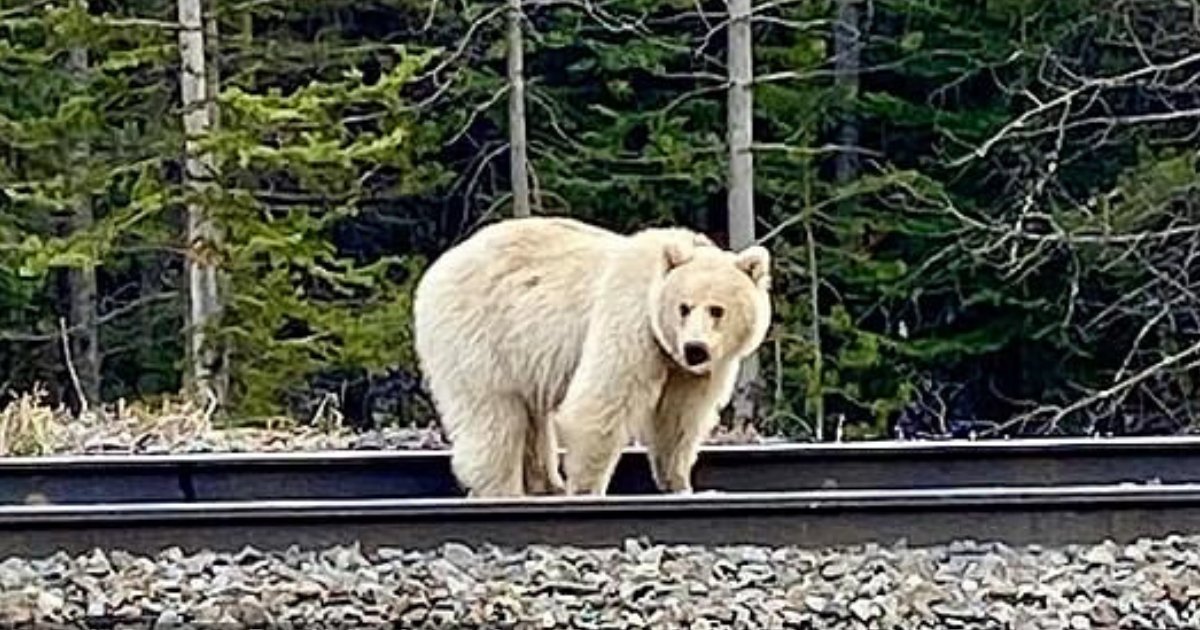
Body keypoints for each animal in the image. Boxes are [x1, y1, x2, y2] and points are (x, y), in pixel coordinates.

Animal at [410, 216, 768, 496]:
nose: (695, 348)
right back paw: (505, 489)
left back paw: (545, 484)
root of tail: (435, 272)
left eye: (717, 309)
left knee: (530, 416)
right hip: (480, 335)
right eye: (684, 307)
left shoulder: (695, 369)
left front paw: (679, 483)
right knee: (495, 416)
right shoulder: (631, 322)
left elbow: (680, 416)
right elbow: (601, 401)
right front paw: (587, 489)